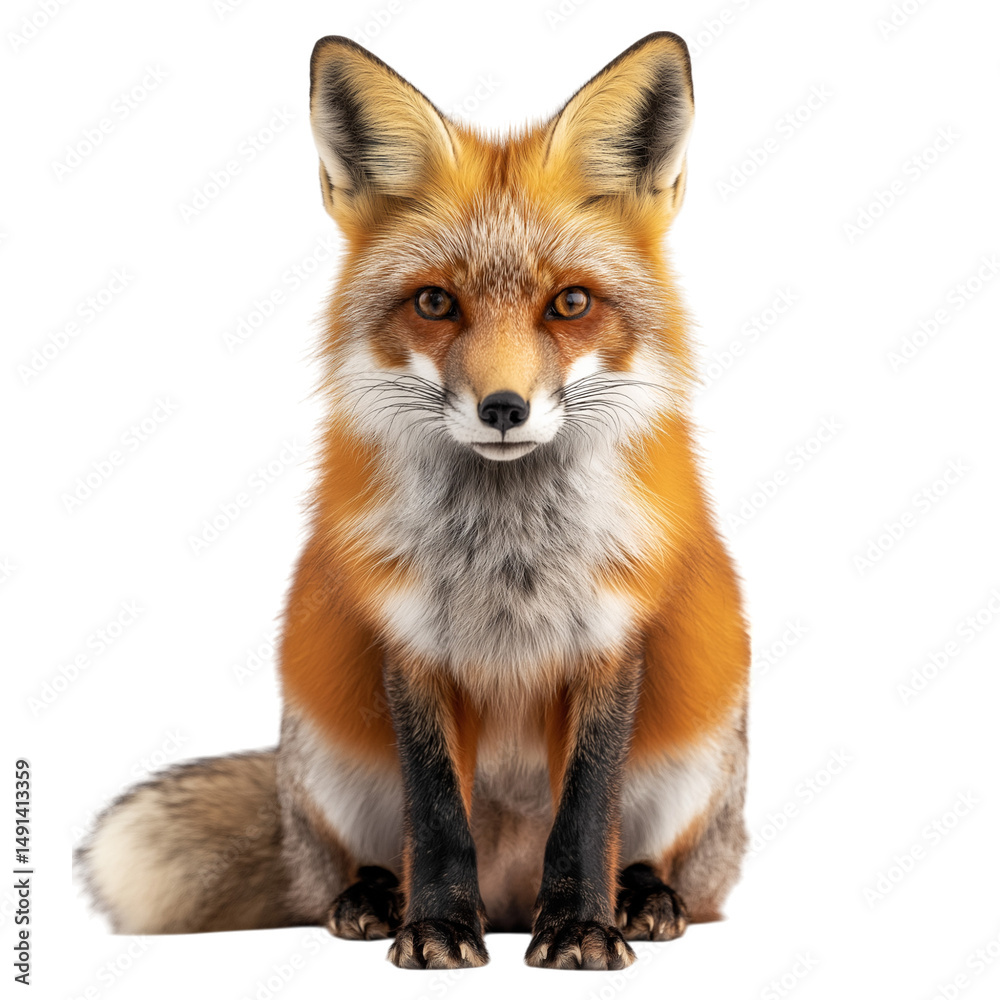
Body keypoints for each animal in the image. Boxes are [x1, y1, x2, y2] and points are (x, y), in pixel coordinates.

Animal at [75, 31, 750, 971]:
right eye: (435, 302)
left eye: (570, 303)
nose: (503, 408)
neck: (508, 558)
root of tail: (510, 898)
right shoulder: (410, 642)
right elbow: (434, 817)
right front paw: (435, 927)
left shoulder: (611, 641)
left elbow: (585, 816)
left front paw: (583, 927)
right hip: (323, 755)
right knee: (348, 865)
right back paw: (372, 900)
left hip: (703, 754)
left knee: (674, 866)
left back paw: (646, 898)